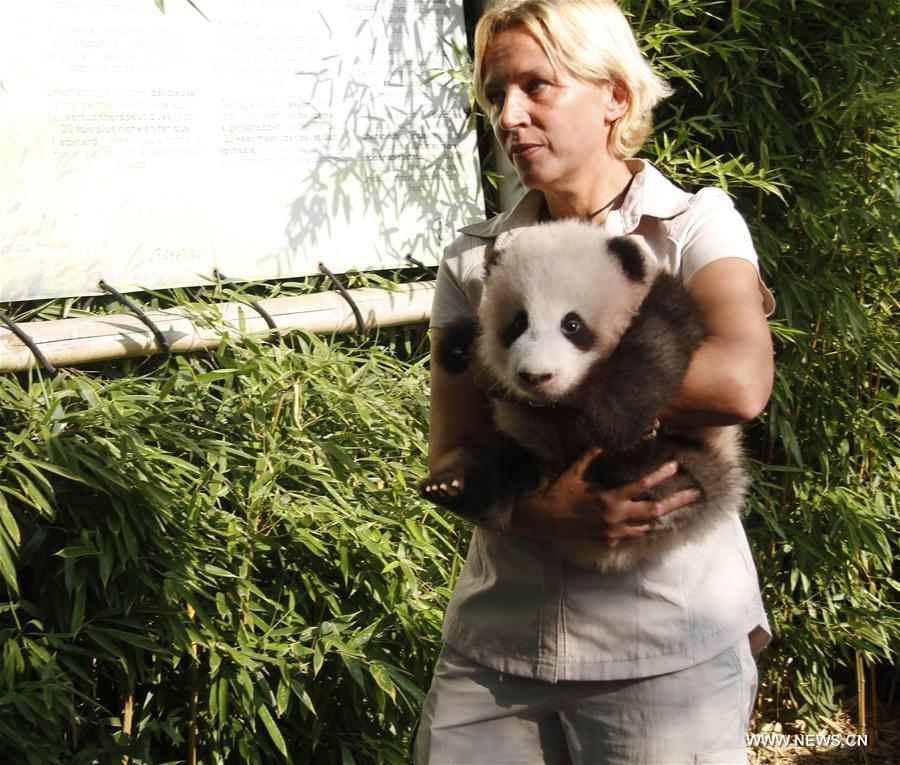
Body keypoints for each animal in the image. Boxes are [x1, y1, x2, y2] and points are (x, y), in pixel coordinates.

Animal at [419, 219, 747, 571]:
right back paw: (452, 487)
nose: (536, 377)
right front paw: (455, 346)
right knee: (500, 464)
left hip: (696, 466)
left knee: (659, 474)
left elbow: (658, 342)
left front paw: (614, 420)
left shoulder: (666, 300)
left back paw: (635, 450)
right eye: (518, 323)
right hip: (522, 444)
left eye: (572, 325)